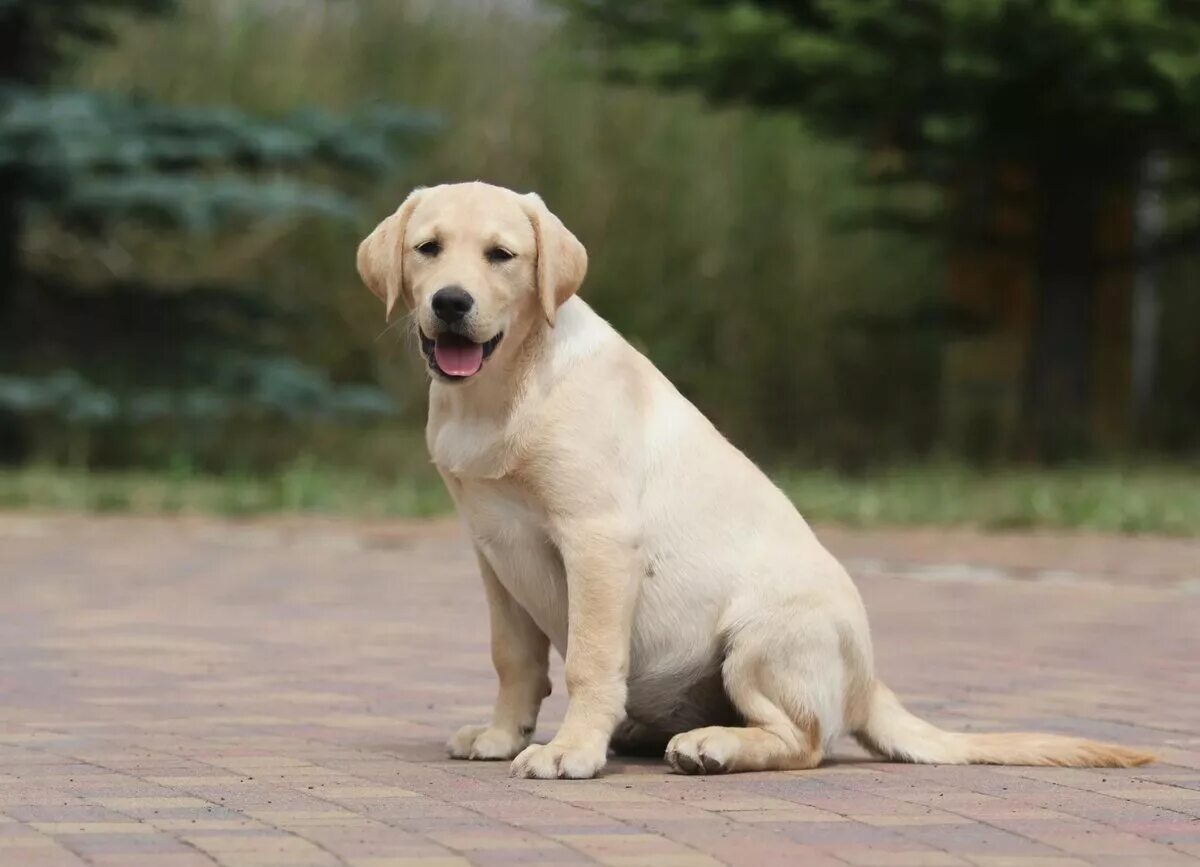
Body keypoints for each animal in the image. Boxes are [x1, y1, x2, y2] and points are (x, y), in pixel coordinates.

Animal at [352, 180, 1152, 778]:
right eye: (428, 250)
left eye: (502, 256)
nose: (451, 302)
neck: (501, 391)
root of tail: (866, 681)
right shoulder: (495, 550)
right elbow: (515, 658)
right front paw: (503, 736)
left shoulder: (597, 540)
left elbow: (589, 659)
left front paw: (570, 750)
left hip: (759, 637)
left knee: (805, 740)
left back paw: (710, 745)